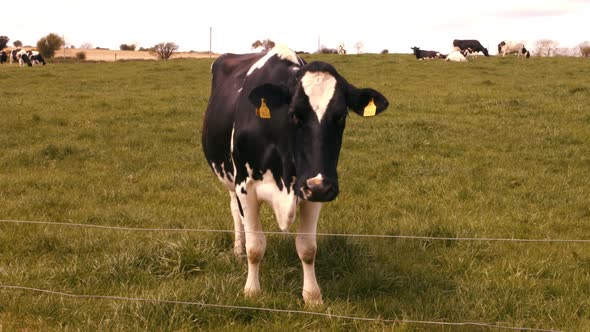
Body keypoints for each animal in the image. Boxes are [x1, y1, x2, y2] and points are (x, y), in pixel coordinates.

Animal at [201, 44, 390, 306]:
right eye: (294, 114)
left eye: (341, 115)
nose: (319, 187)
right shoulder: (245, 187)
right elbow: (255, 247)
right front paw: (252, 291)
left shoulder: (312, 188)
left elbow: (307, 248)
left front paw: (312, 296)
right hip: (229, 179)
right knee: (234, 211)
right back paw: (237, 250)